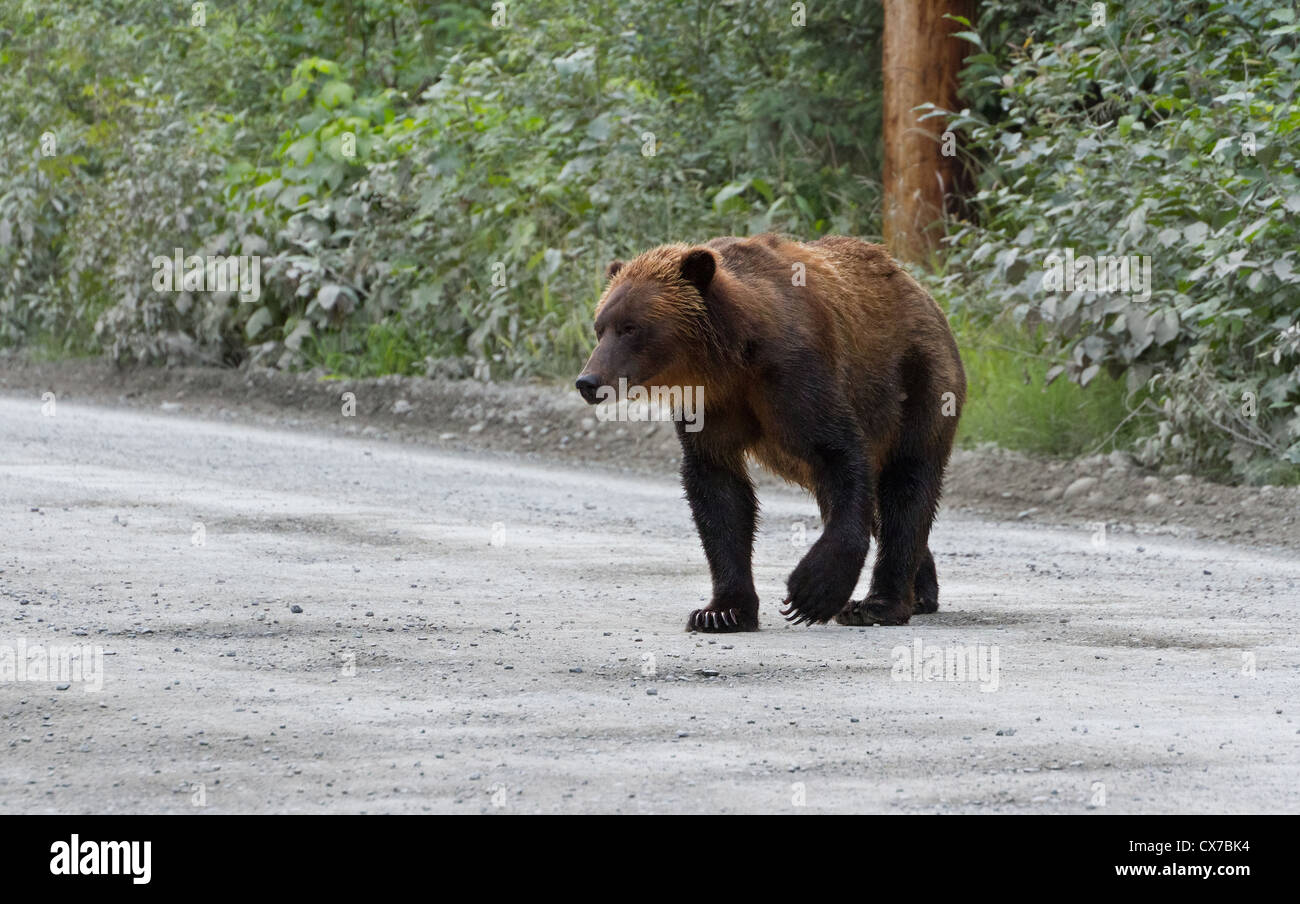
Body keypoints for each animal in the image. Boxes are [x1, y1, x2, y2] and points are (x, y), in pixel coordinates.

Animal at [577, 232, 967, 632]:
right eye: (600, 327)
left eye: (630, 327)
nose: (588, 381)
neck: (728, 359)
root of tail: (919, 290)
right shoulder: (709, 406)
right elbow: (718, 490)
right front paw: (722, 611)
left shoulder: (794, 375)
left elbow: (839, 450)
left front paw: (811, 592)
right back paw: (920, 590)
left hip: (917, 379)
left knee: (906, 483)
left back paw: (880, 603)